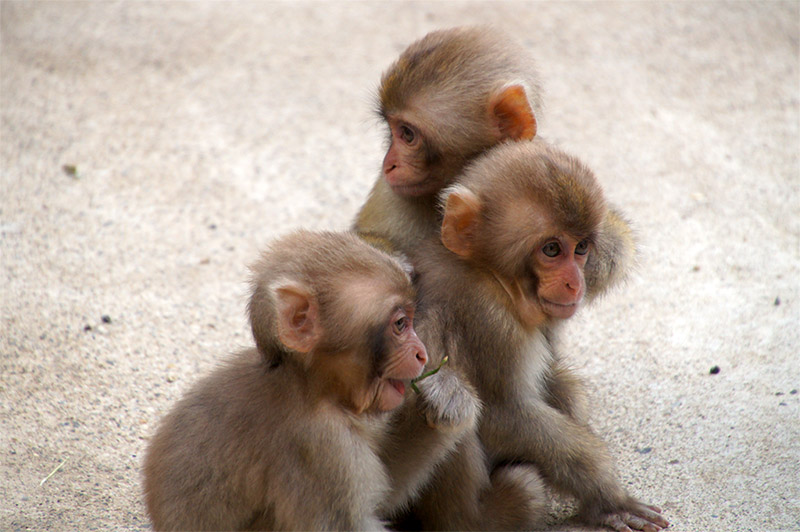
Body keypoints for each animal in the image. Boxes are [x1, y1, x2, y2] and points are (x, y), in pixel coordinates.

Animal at [143, 230, 478, 531]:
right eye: (400, 324)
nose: (422, 353)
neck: (310, 388)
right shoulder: (320, 451)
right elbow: (348, 525)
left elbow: (385, 494)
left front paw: (446, 399)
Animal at [405, 140, 669, 532]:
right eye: (551, 249)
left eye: (581, 248)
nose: (575, 283)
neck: (489, 275)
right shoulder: (491, 323)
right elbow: (503, 415)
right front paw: (608, 497)